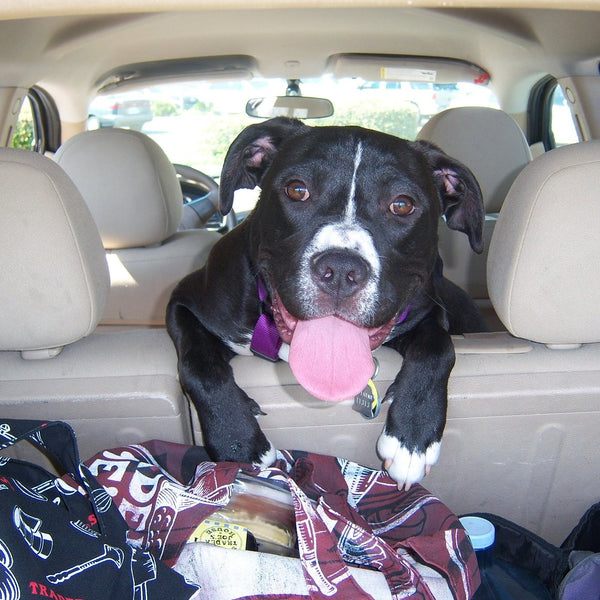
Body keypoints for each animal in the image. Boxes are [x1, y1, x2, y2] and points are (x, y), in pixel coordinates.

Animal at [166, 117, 486, 488]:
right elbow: (198, 365)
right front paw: (238, 441)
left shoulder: (427, 311)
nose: (341, 269)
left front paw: (413, 437)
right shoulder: (184, 302)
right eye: (297, 190)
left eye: (402, 205)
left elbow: (439, 349)